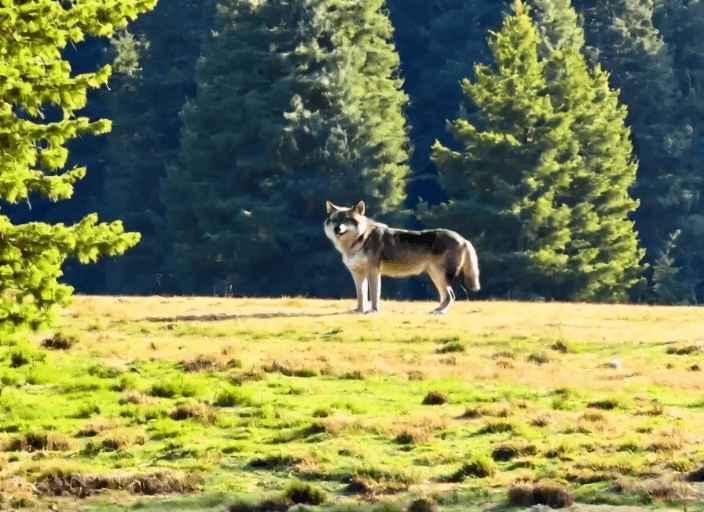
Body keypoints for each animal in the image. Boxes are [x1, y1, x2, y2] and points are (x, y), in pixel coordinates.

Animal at [324, 200, 480, 314]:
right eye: (335, 220)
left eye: (347, 220)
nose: (337, 228)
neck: (359, 240)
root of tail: (463, 239)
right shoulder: (357, 273)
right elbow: (361, 295)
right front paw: (359, 311)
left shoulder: (373, 271)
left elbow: (374, 295)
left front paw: (373, 311)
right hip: (435, 276)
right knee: (446, 296)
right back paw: (436, 310)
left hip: (440, 276)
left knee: (450, 296)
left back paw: (439, 313)